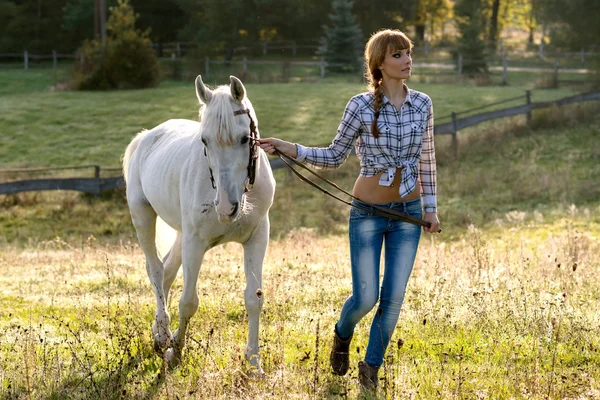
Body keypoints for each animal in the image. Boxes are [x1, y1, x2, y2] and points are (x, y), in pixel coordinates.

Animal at [122, 76, 276, 376]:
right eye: (204, 140)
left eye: (245, 138)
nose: (226, 208)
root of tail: (146, 137)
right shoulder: (195, 243)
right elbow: (188, 302)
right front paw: (176, 353)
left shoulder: (257, 238)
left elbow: (254, 298)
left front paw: (254, 364)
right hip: (143, 216)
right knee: (155, 270)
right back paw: (164, 335)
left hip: (181, 234)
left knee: (167, 271)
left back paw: (158, 332)